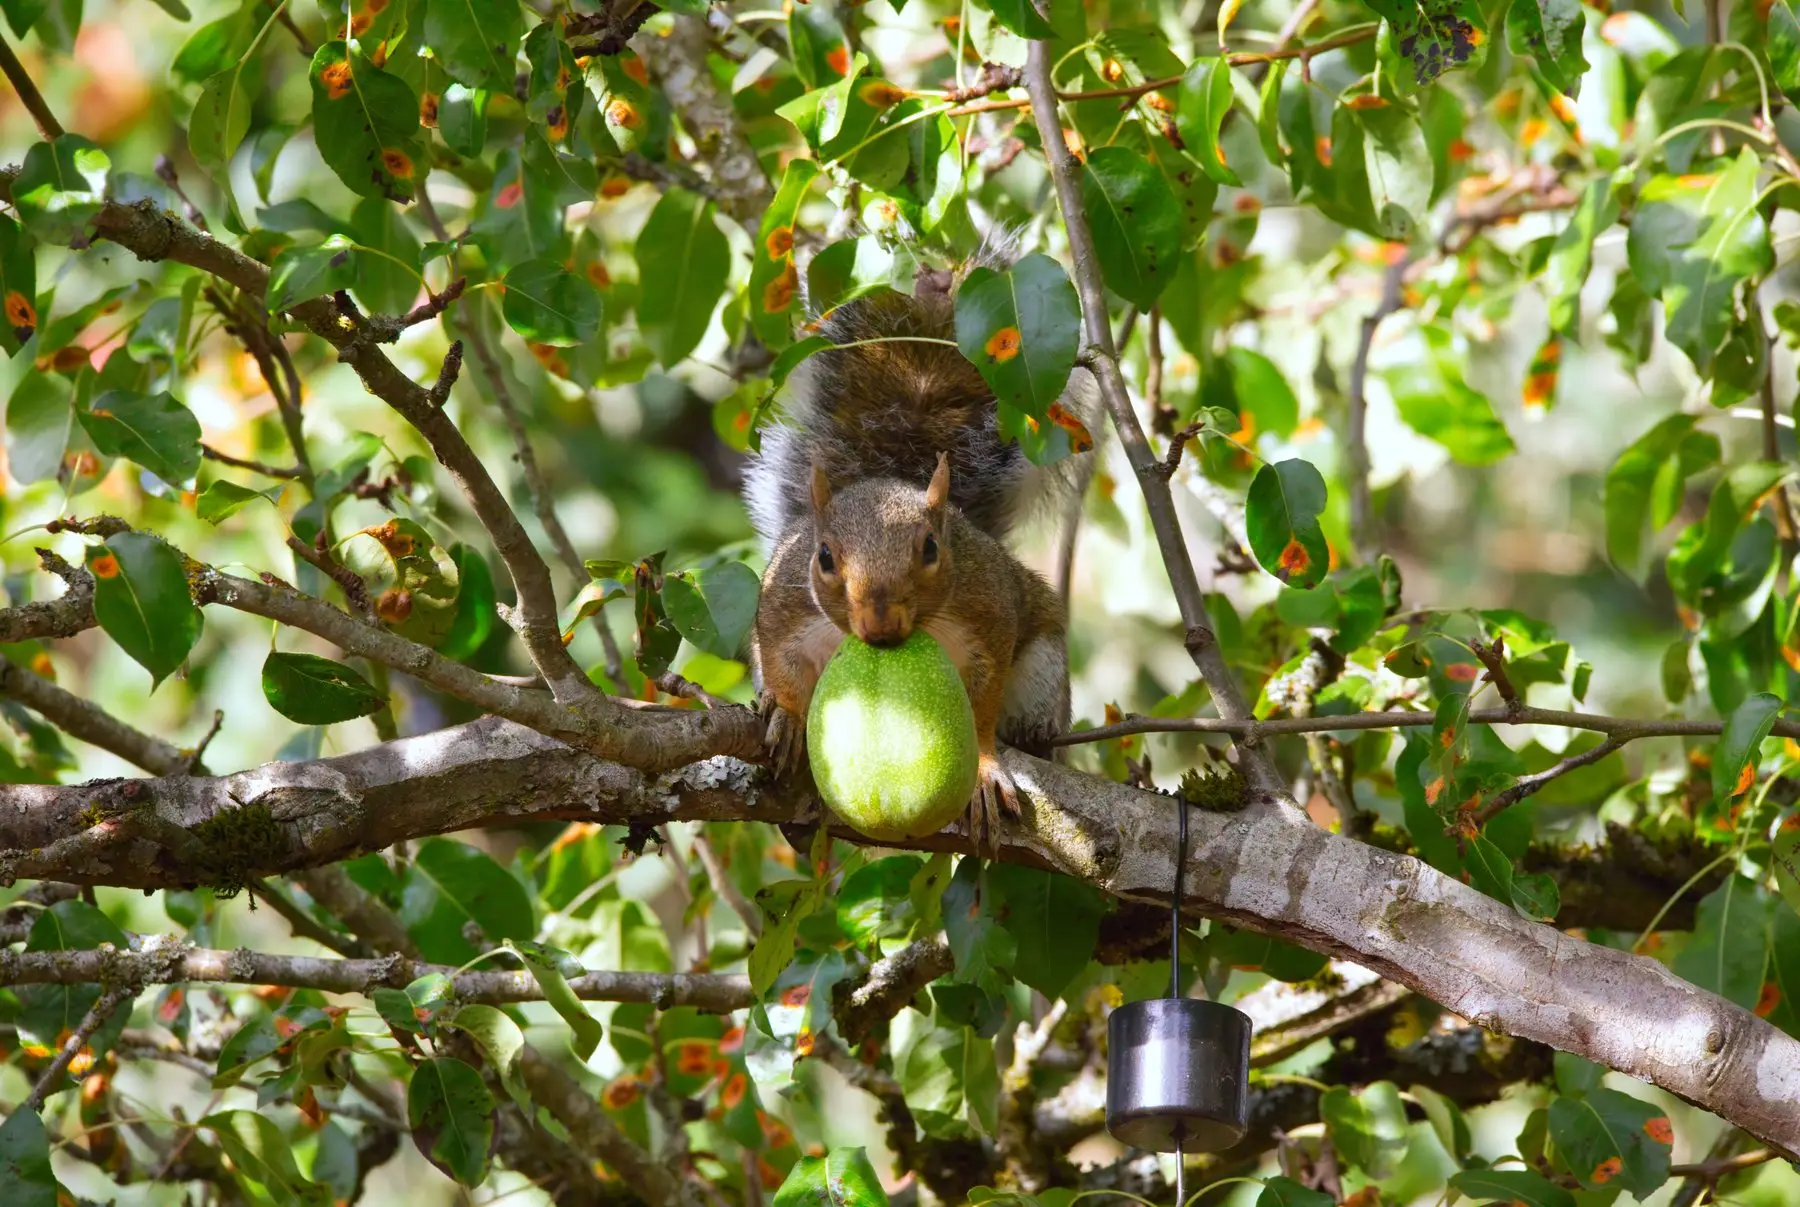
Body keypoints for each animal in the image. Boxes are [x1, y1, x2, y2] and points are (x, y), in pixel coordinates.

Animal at [742, 241, 1093, 851]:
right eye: (824, 557)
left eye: (932, 549)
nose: (881, 626)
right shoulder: (782, 608)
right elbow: (782, 664)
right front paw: (784, 714)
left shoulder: (987, 613)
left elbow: (982, 704)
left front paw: (984, 769)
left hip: (1043, 667)